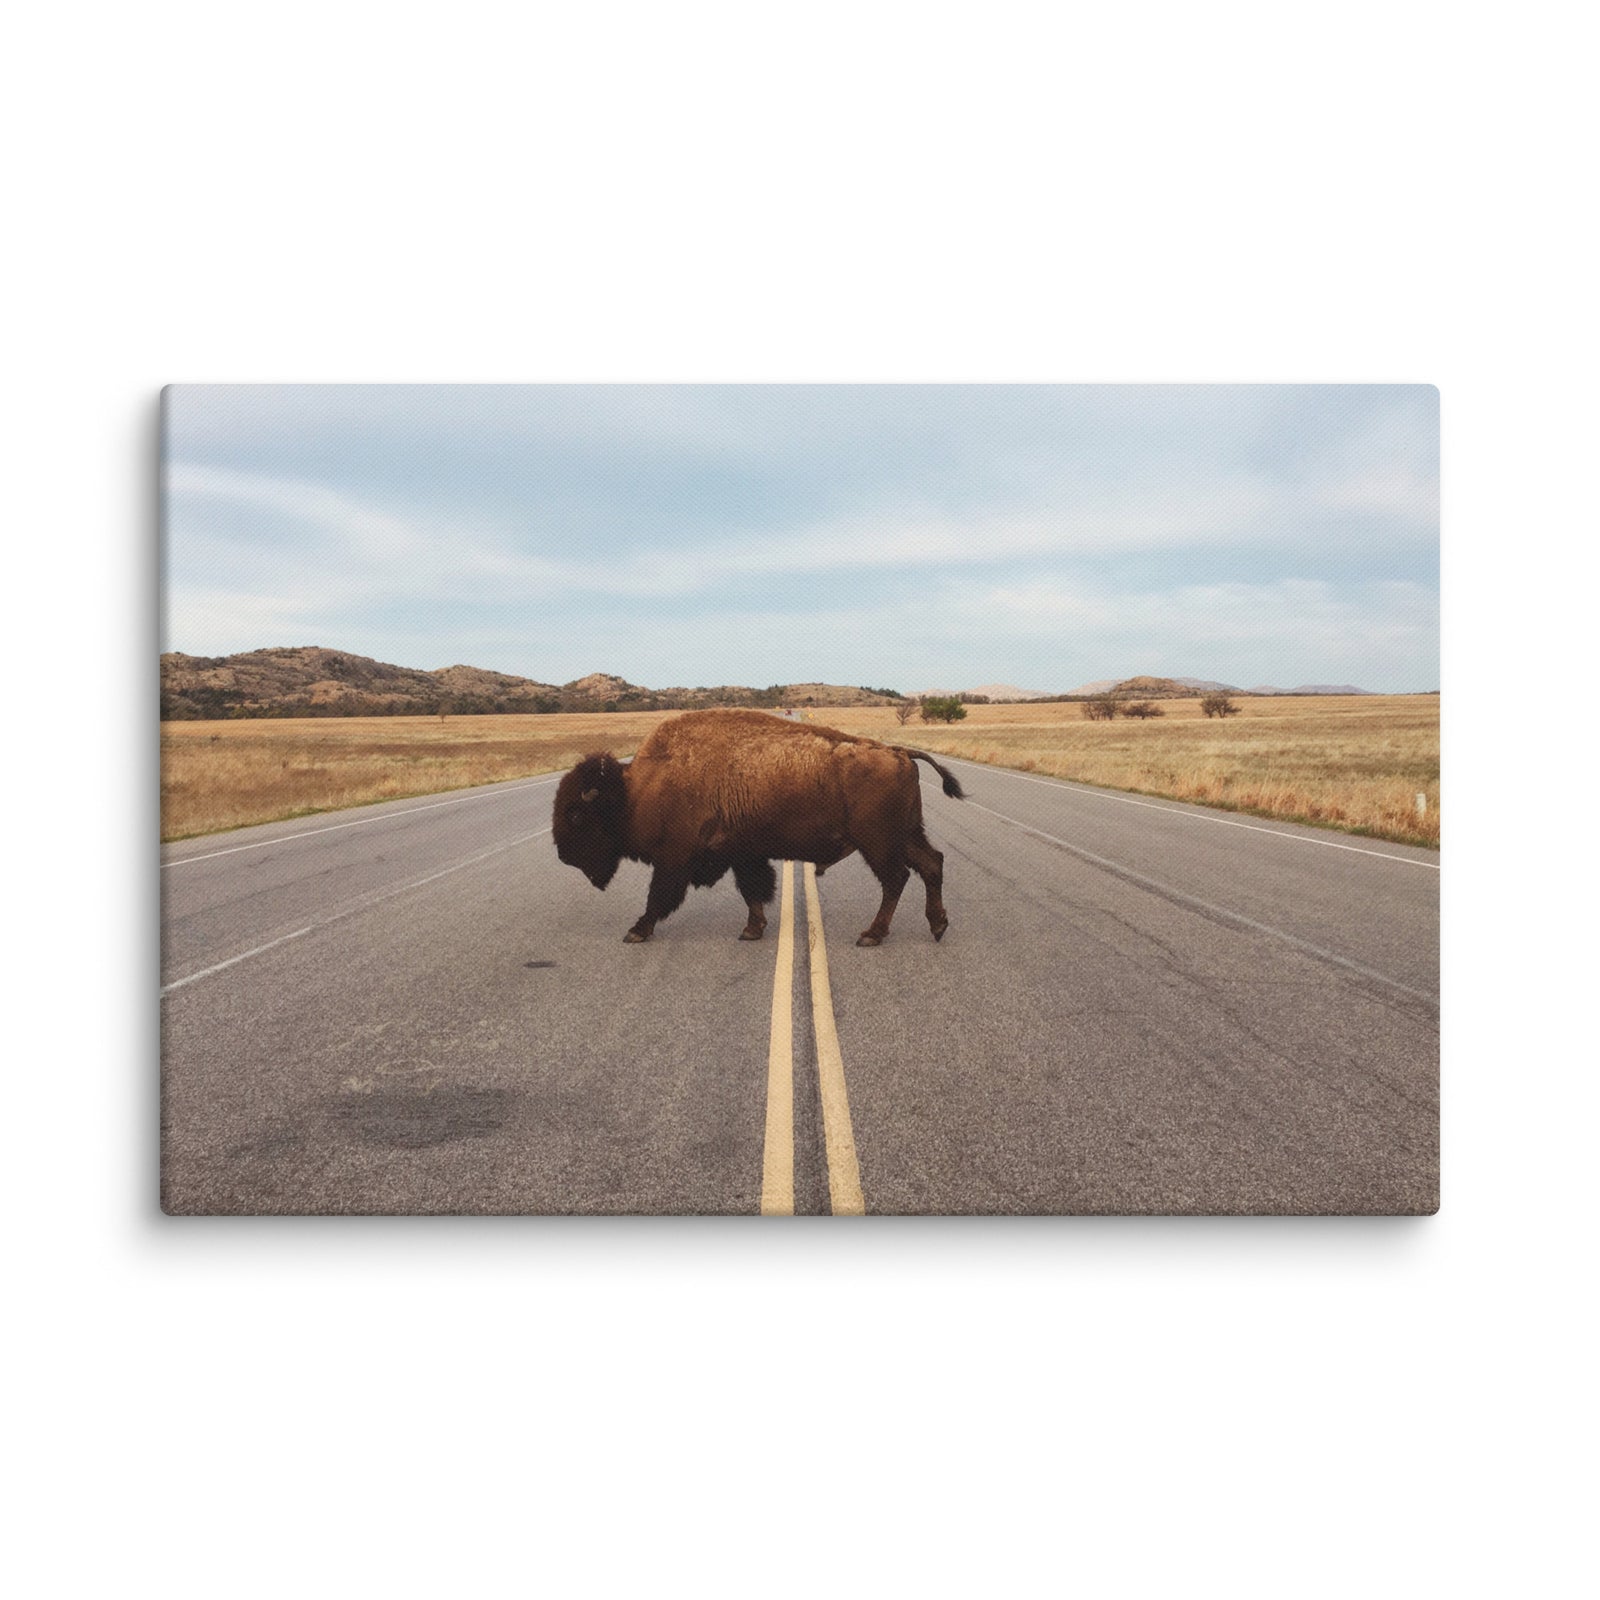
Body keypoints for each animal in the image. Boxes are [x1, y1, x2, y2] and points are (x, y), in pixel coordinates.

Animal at [552, 708, 964, 946]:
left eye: (575, 815)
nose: (564, 856)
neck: (637, 789)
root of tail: (899, 752)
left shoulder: (675, 858)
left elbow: (658, 897)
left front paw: (636, 931)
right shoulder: (741, 854)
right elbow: (752, 890)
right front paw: (752, 929)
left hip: (878, 843)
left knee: (896, 879)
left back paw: (872, 935)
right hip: (905, 835)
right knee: (931, 864)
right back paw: (938, 926)